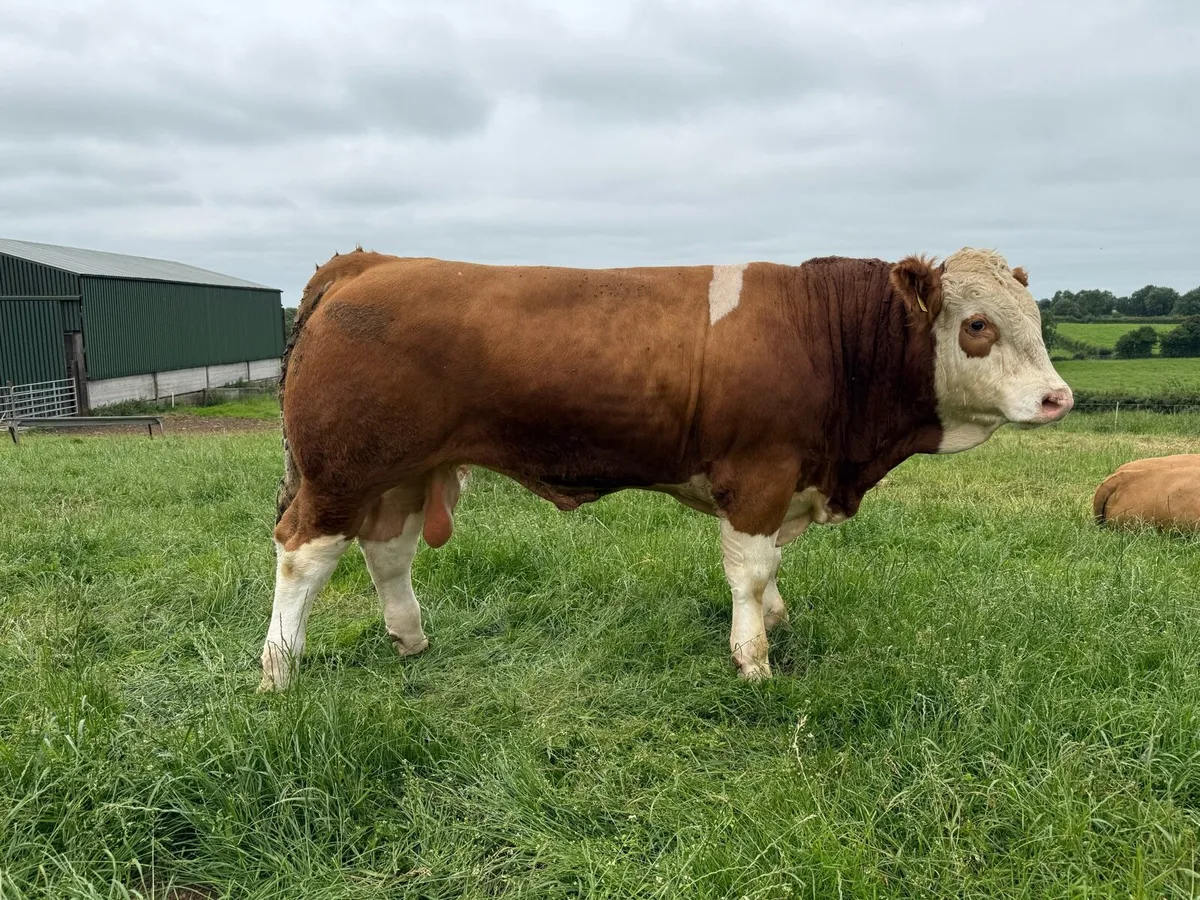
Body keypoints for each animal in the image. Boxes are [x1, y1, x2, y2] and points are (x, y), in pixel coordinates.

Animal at [259, 247, 1073, 691]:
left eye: (1036, 319)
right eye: (977, 325)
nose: (1058, 397)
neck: (829, 337)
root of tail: (370, 265)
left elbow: (770, 569)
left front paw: (775, 619)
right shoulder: (760, 474)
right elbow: (749, 569)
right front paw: (754, 656)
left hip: (397, 472)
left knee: (386, 552)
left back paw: (410, 639)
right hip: (339, 472)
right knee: (303, 557)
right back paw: (279, 669)